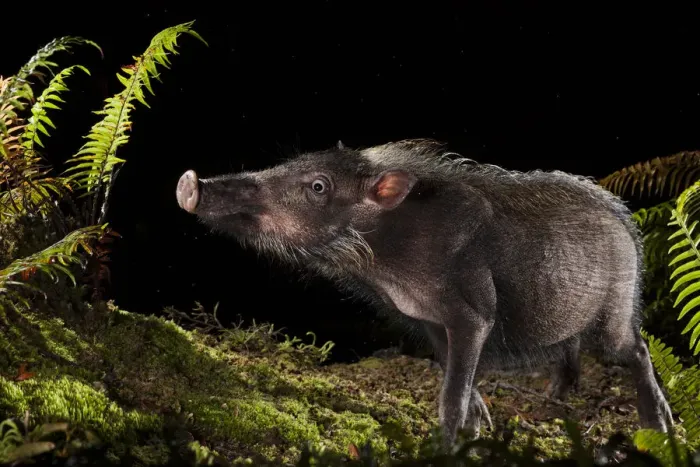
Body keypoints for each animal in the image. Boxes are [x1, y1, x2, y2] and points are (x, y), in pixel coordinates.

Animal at [175, 139, 673, 447]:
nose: (189, 181)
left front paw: (448, 442)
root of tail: (627, 223)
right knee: (571, 355)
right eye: (288, 164)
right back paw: (555, 399)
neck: (387, 266)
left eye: (318, 186)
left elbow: (453, 390)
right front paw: (480, 425)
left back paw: (662, 427)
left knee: (637, 349)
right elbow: (457, 374)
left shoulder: (475, 313)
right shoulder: (426, 320)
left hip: (615, 312)